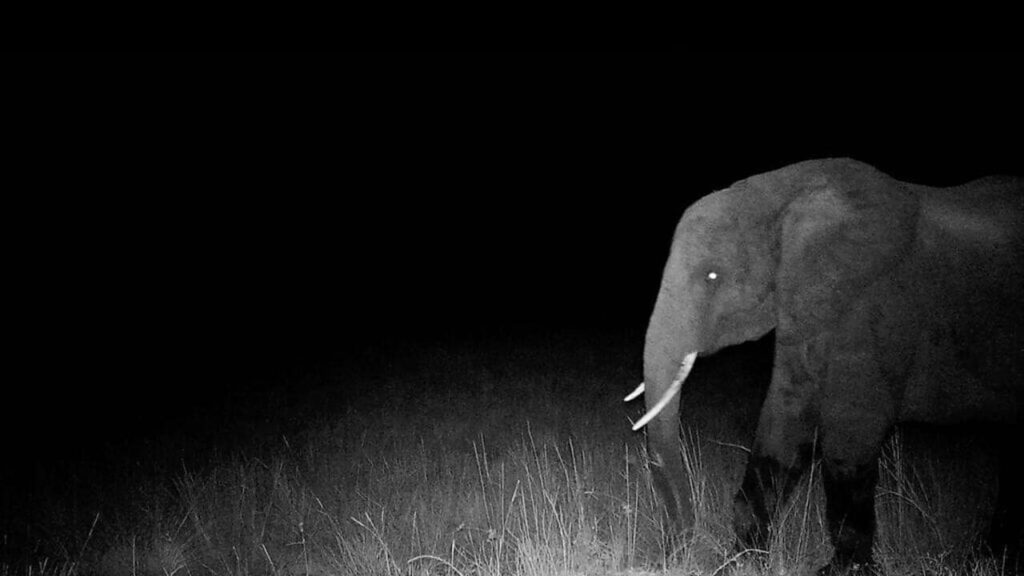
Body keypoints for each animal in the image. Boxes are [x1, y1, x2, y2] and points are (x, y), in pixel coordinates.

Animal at [626, 158, 1023, 574]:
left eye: (712, 276)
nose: (677, 548)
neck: (782, 194)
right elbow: (783, 423)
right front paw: (740, 561)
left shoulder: (872, 305)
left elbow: (851, 435)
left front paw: (843, 570)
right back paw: (989, 558)